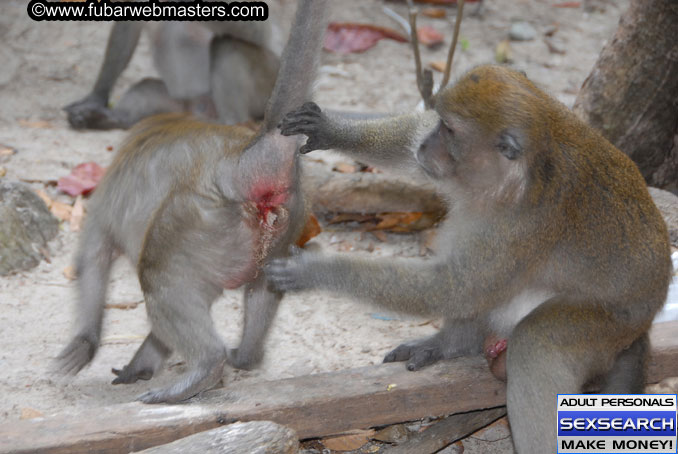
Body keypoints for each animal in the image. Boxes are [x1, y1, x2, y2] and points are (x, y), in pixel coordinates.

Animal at [65, 1, 282, 129]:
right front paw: (97, 97)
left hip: (266, 89)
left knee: (230, 45)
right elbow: (128, 25)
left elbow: (261, 29)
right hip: (177, 106)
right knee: (147, 89)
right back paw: (111, 118)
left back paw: (233, 124)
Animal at [266, 65, 676, 452]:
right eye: (440, 124)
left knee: (534, 340)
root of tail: (647, 316)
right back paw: (454, 343)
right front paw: (330, 129)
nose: (429, 143)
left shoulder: (518, 228)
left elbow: (453, 289)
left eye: (449, 130)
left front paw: (314, 270)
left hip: (614, 324)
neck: (513, 180)